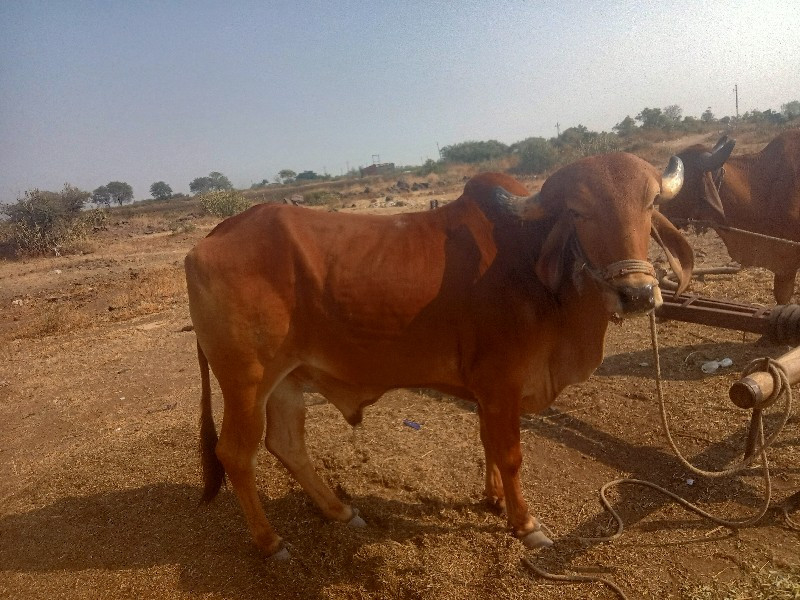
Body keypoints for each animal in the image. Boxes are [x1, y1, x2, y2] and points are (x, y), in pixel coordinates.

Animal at [183, 154, 692, 556]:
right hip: (247, 381)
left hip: (287, 380)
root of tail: (215, 234)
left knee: (286, 444)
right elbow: (510, 453)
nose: (638, 293)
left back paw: (340, 511)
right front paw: (524, 523)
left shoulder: (488, 392)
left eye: (651, 204)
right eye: (577, 210)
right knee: (235, 454)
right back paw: (270, 542)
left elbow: (488, 443)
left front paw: (493, 499)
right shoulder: (501, 383)